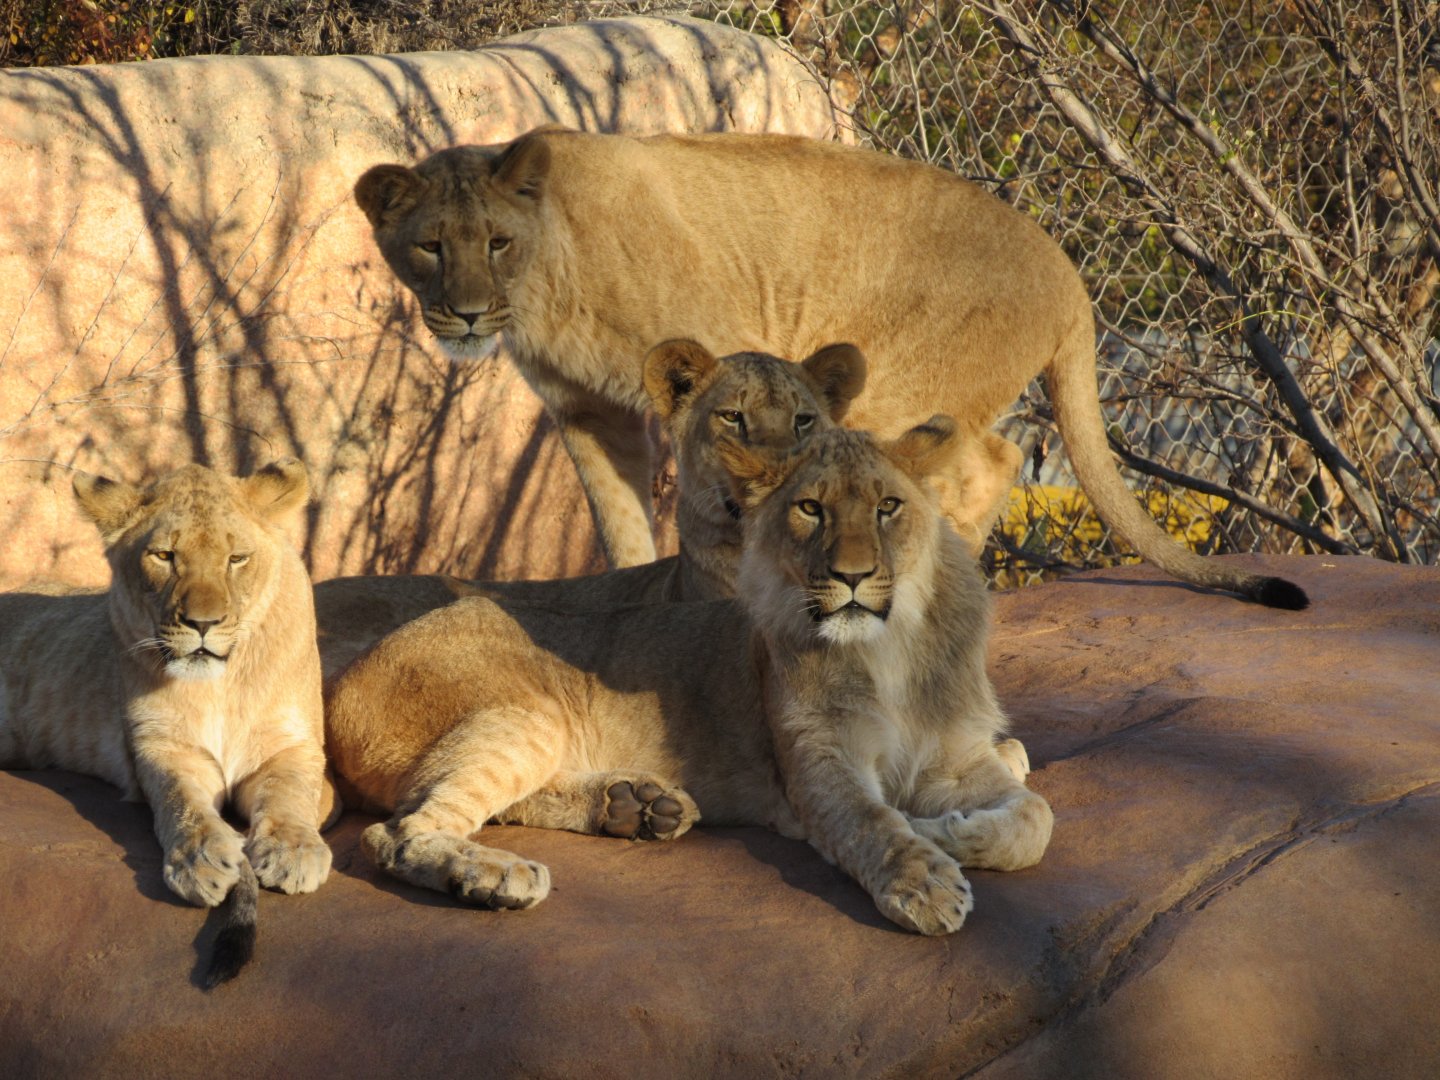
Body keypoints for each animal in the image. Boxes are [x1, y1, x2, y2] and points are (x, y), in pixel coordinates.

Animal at [0, 460, 335, 986]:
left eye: (237, 558)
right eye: (164, 556)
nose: (203, 624)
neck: (219, 685)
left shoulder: (293, 745)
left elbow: (290, 793)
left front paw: (293, 850)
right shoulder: (161, 748)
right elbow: (182, 802)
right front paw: (200, 859)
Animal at [324, 419, 1053, 935]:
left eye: (889, 507)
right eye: (810, 509)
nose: (850, 576)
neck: (892, 646)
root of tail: (341, 683)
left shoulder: (955, 755)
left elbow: (1034, 817)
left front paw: (951, 826)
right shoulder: (819, 761)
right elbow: (874, 823)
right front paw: (924, 876)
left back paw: (635, 807)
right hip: (524, 713)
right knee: (395, 832)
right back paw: (496, 876)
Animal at [355, 127, 1306, 609]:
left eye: (495, 244)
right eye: (430, 248)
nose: (465, 314)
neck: (547, 276)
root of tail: (1066, 270)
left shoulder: (728, 372)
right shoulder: (589, 412)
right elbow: (619, 526)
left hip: (890, 389)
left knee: (970, 467)